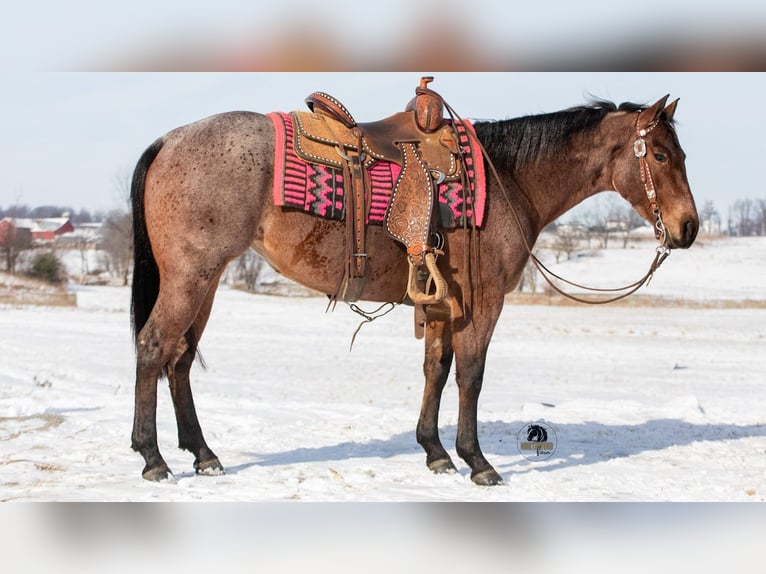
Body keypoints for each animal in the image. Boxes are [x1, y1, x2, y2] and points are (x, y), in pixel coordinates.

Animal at [129, 93, 698, 485]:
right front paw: (477, 461)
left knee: (179, 361)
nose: (688, 227)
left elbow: (436, 370)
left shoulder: (444, 303)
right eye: (662, 156)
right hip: (190, 277)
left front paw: (435, 452)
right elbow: (470, 376)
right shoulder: (482, 302)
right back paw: (153, 458)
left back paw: (203, 454)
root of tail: (169, 140)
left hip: (206, 282)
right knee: (154, 347)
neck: (510, 178)